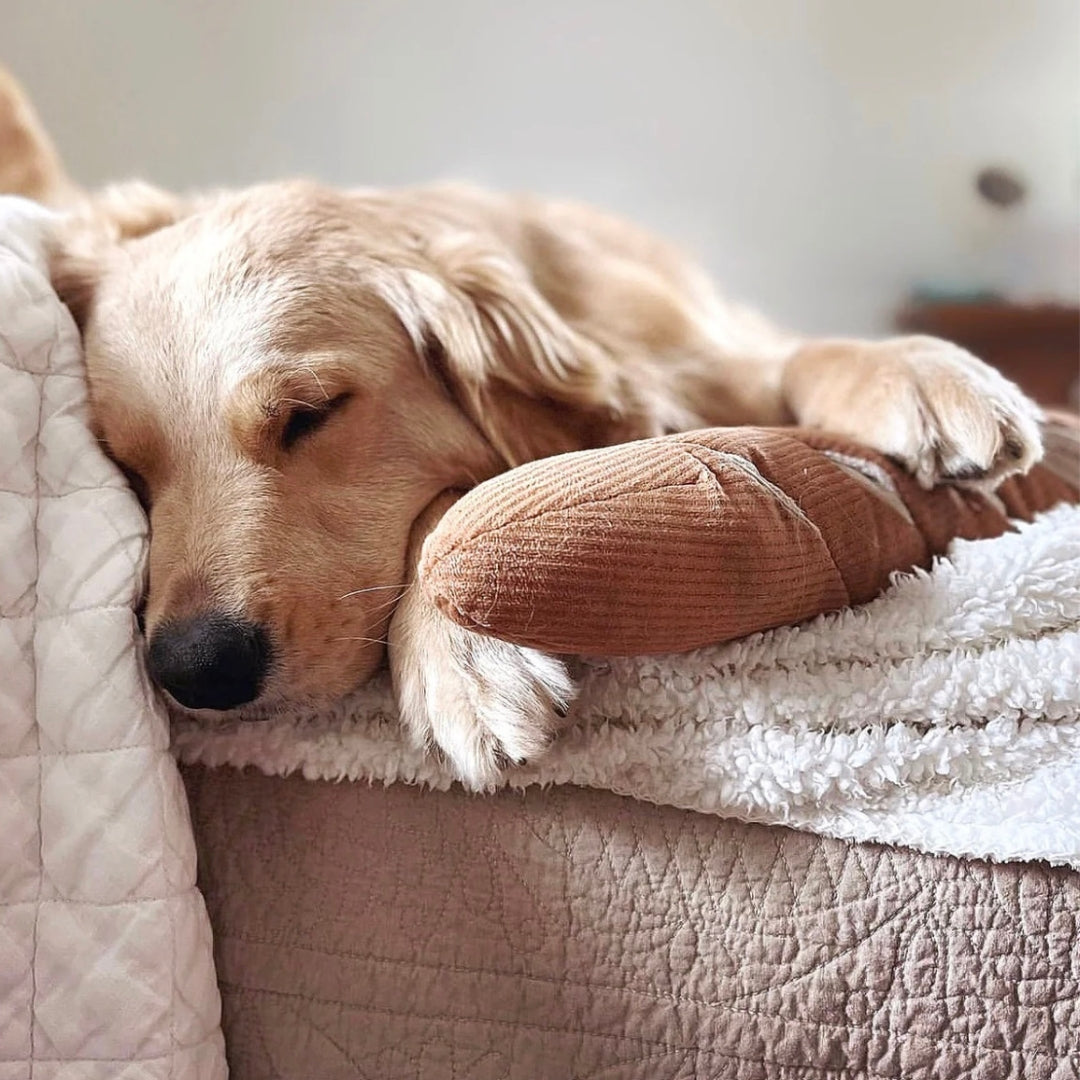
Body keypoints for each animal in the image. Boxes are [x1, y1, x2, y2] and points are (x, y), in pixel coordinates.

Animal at [4, 73, 1041, 786]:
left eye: (311, 415)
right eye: (126, 466)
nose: (195, 669)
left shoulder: (702, 357)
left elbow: (798, 353)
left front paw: (926, 373)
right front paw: (462, 657)